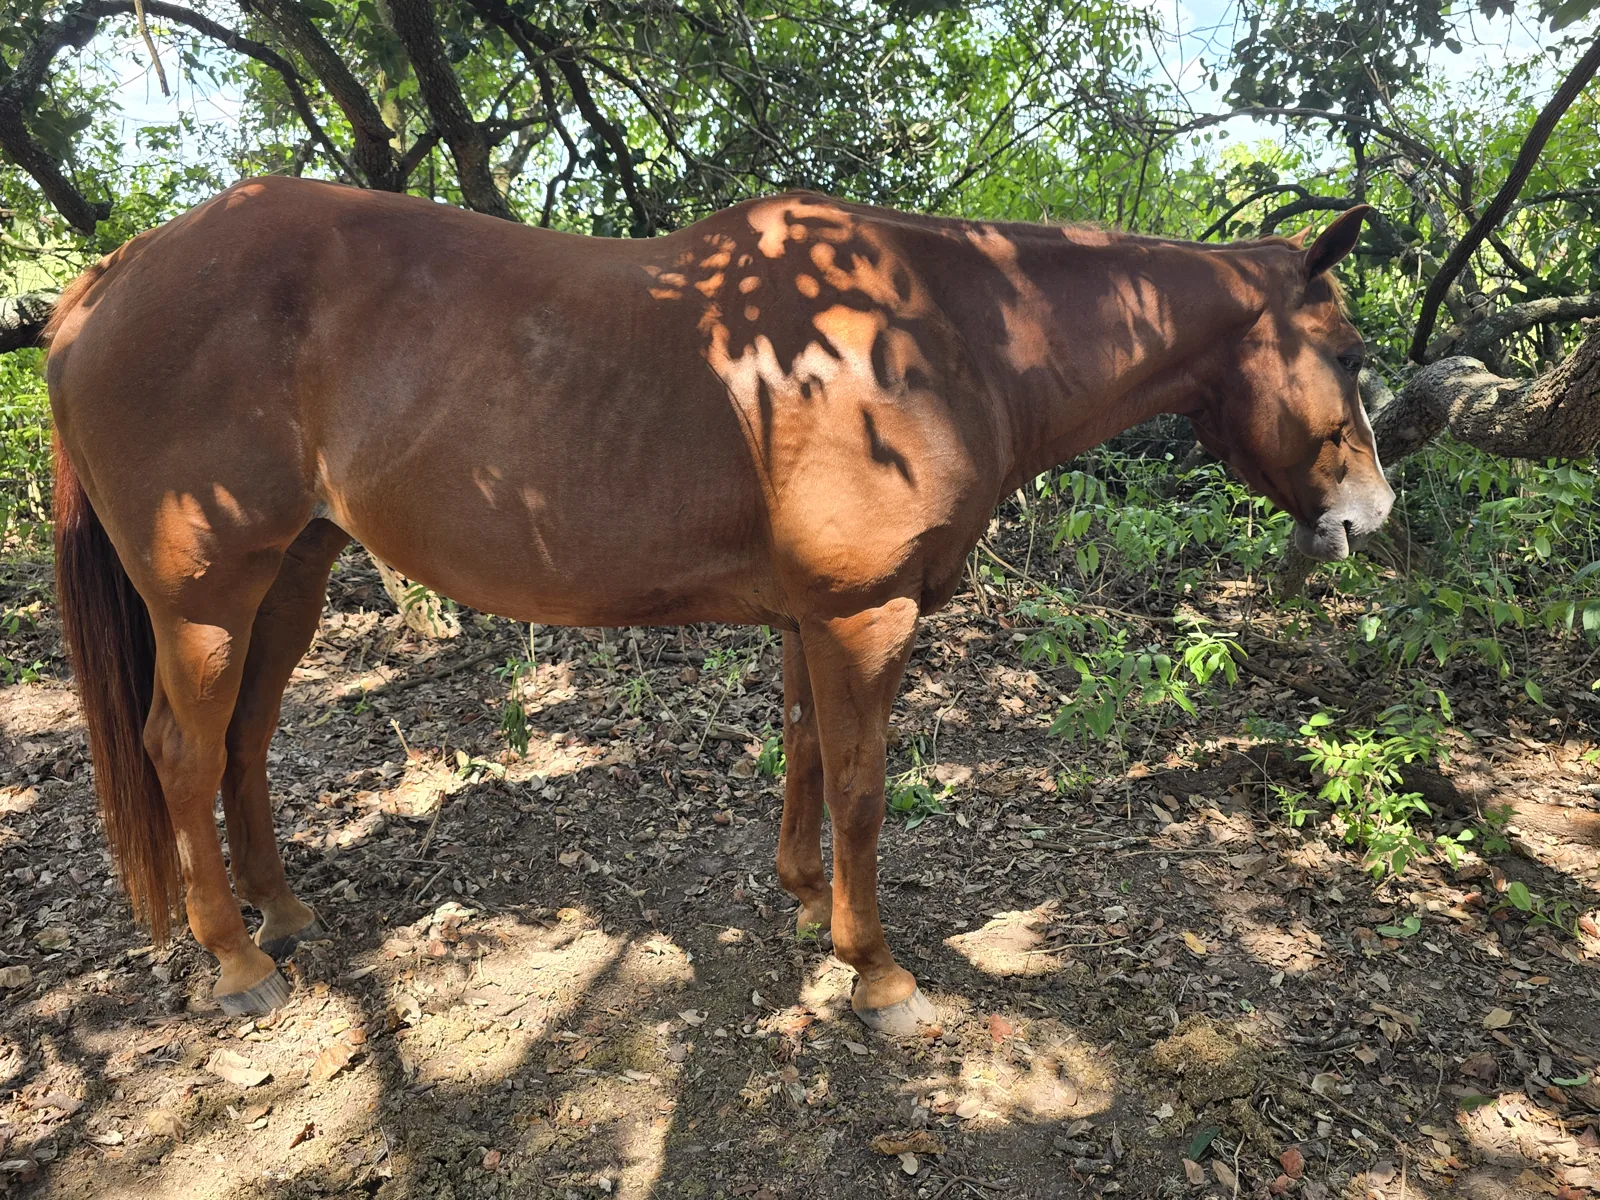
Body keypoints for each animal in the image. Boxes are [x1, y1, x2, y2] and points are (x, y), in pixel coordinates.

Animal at [45, 178, 1392, 1033]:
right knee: (181, 751)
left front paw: (804, 901)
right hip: (204, 599)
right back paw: (235, 963)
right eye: (1351, 352)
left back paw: (281, 914)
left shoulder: (812, 618)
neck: (943, 330)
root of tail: (104, 283)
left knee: (245, 745)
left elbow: (803, 757)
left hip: (292, 576)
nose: (1371, 514)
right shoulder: (864, 615)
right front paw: (878, 974)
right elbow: (861, 788)